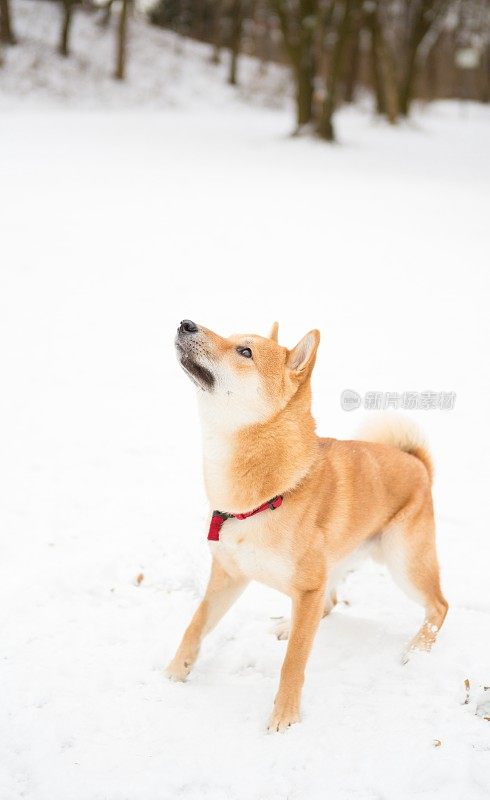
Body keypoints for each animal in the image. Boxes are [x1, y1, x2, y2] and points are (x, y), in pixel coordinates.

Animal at [167, 318, 448, 732]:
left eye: (245, 352)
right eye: (232, 337)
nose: (186, 323)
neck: (264, 497)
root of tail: (416, 463)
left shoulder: (307, 586)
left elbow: (294, 663)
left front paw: (285, 716)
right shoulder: (229, 576)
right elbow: (195, 624)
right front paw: (176, 670)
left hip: (404, 564)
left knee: (438, 607)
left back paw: (418, 649)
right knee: (328, 603)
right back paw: (289, 623)